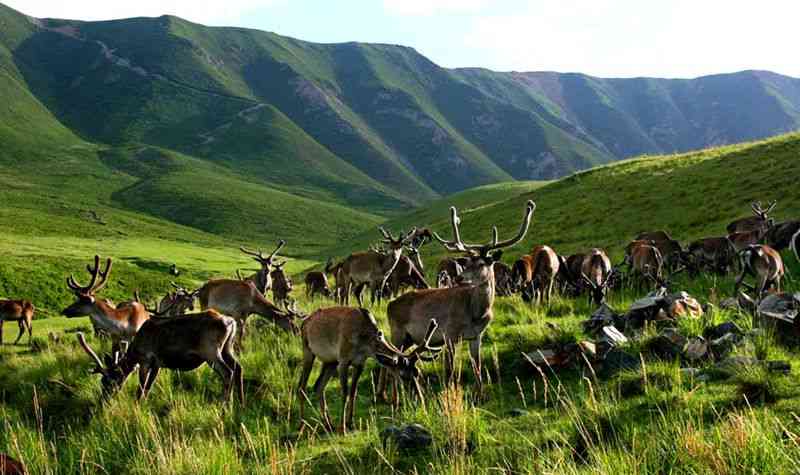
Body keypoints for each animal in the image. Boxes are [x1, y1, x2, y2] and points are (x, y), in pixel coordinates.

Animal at [75, 308, 244, 406]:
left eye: (107, 381)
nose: (102, 401)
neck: (134, 352)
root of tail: (231, 322)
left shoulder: (145, 360)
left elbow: (141, 387)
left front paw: (137, 406)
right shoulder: (157, 364)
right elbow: (149, 386)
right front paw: (144, 404)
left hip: (211, 351)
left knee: (228, 372)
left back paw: (224, 405)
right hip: (227, 348)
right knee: (238, 368)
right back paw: (240, 402)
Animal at [296, 306, 440, 434]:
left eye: (417, 373)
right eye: (402, 375)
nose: (420, 400)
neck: (365, 343)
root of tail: (303, 323)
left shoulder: (360, 363)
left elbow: (353, 393)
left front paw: (351, 424)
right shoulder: (343, 359)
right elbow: (345, 393)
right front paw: (343, 428)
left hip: (330, 361)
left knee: (319, 386)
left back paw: (328, 424)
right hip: (307, 349)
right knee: (302, 387)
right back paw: (302, 425)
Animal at [382, 199, 536, 396]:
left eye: (481, 263)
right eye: (467, 262)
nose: (459, 278)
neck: (476, 313)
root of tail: (389, 305)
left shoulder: (477, 336)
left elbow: (477, 367)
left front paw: (480, 395)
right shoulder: (449, 334)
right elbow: (450, 371)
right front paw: (448, 394)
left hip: (409, 338)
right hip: (397, 332)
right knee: (388, 363)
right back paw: (387, 396)